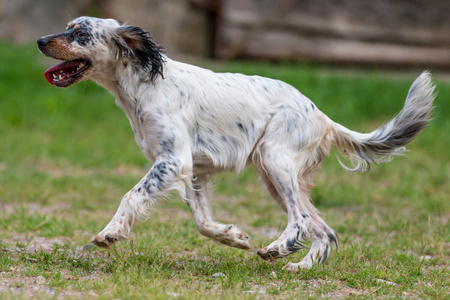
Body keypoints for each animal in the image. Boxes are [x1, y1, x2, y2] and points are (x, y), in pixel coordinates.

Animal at [38, 16, 436, 272]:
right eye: (67, 28)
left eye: (80, 34)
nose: (41, 41)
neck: (143, 84)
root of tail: (323, 116)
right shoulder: (194, 172)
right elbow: (203, 223)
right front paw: (235, 237)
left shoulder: (173, 161)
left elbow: (132, 196)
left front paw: (110, 233)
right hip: (275, 176)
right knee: (323, 230)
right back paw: (300, 267)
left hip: (274, 161)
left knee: (300, 220)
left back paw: (279, 248)